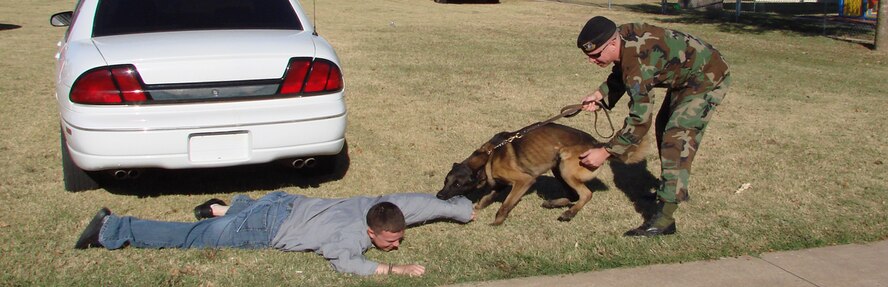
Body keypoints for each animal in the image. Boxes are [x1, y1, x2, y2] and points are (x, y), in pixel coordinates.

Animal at [436, 122, 644, 226]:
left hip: (565, 165)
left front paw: (497, 222)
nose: (439, 195)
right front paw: (477, 208)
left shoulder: (524, 181)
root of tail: (598, 144)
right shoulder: (498, 183)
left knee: (586, 194)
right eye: (446, 180)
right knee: (572, 195)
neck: (489, 156)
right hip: (557, 167)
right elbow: (486, 198)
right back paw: (553, 204)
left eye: (457, 184)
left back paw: (569, 214)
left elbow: (505, 205)